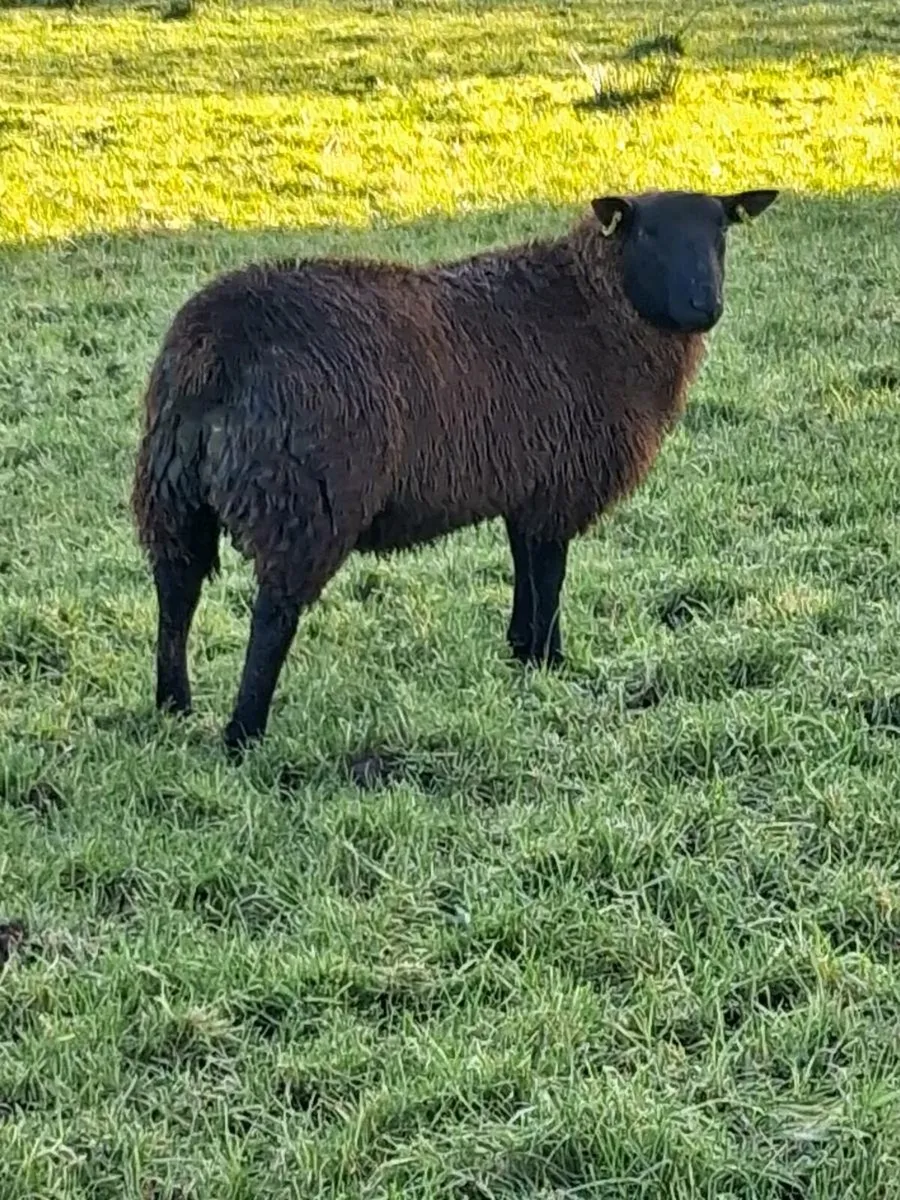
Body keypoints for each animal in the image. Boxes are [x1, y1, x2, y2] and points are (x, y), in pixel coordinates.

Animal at [131, 187, 778, 753]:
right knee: (271, 616)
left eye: (721, 230)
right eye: (648, 233)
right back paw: (243, 734)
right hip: (301, 497)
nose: (705, 307)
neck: (599, 309)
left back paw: (173, 705)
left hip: (172, 490)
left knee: (176, 592)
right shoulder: (558, 484)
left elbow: (526, 568)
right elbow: (551, 577)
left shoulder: (527, 482)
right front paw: (551, 661)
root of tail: (216, 347)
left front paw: (521, 653)